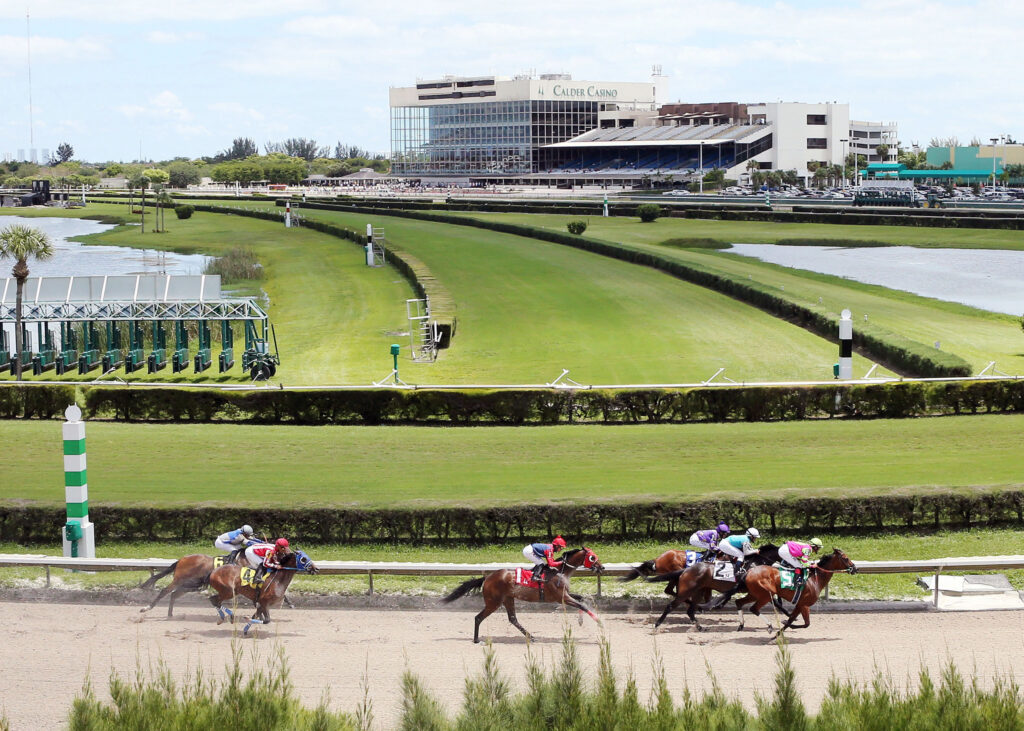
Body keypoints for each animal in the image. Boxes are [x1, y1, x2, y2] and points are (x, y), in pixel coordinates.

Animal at [444, 544, 602, 638]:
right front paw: (599, 622)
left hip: (508, 598)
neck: (560, 572)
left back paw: (530, 636)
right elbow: (582, 604)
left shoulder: (565, 594)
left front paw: (581, 621)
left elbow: (582, 599)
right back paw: (477, 640)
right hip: (493, 602)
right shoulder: (561, 597)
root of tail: (487, 577)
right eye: (592, 557)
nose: (601, 568)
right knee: (478, 618)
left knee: (513, 618)